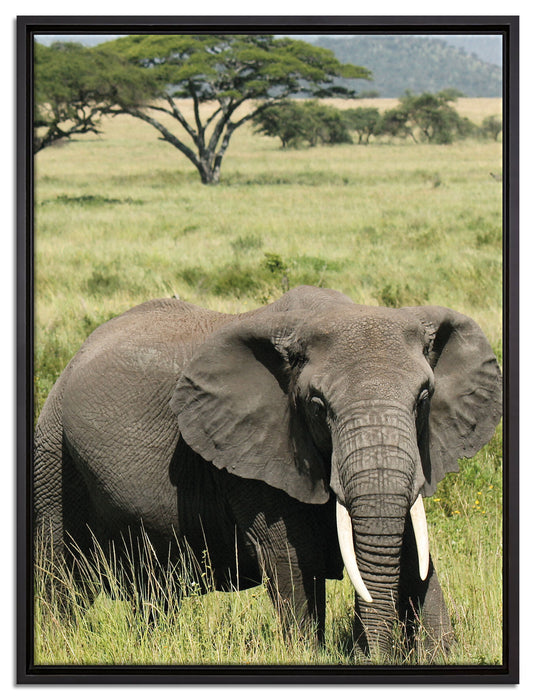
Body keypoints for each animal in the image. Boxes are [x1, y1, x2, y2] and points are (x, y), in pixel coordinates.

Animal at [33, 285, 502, 658]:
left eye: (423, 398)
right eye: (317, 406)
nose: (367, 649)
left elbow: (413, 548)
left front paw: (441, 652)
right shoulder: (253, 456)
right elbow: (288, 555)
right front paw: (308, 654)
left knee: (154, 593)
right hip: (53, 453)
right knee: (60, 575)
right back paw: (60, 643)